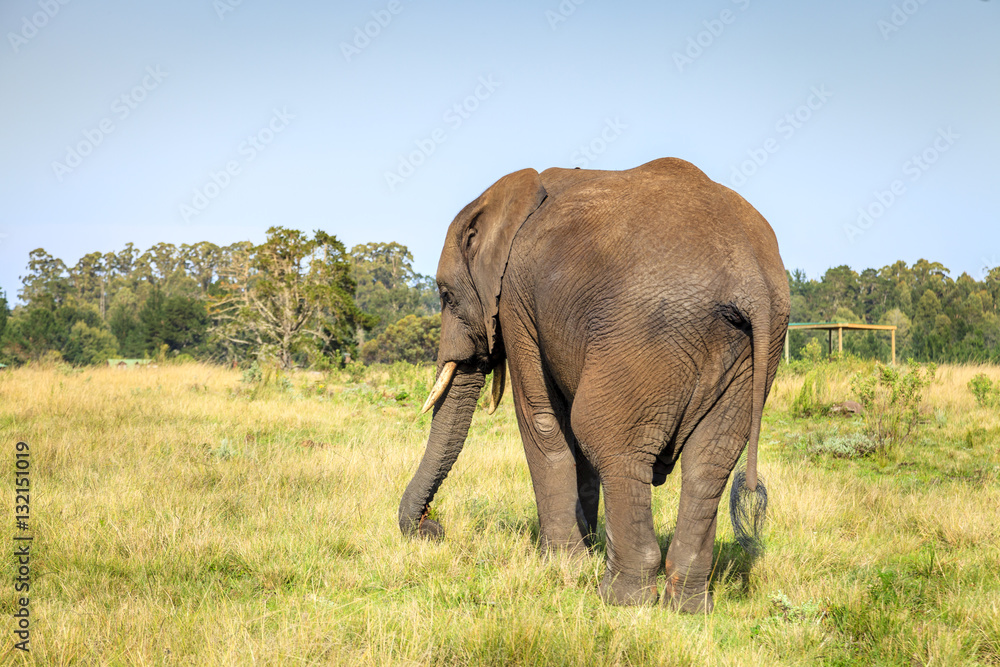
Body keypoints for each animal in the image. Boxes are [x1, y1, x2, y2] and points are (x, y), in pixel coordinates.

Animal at [398, 157, 790, 612]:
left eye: (445, 296)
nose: (432, 528)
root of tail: (753, 283)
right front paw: (582, 555)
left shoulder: (515, 299)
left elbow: (544, 421)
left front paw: (563, 567)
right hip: (753, 353)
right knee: (709, 461)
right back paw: (687, 606)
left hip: (646, 333)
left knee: (608, 439)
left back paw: (622, 599)